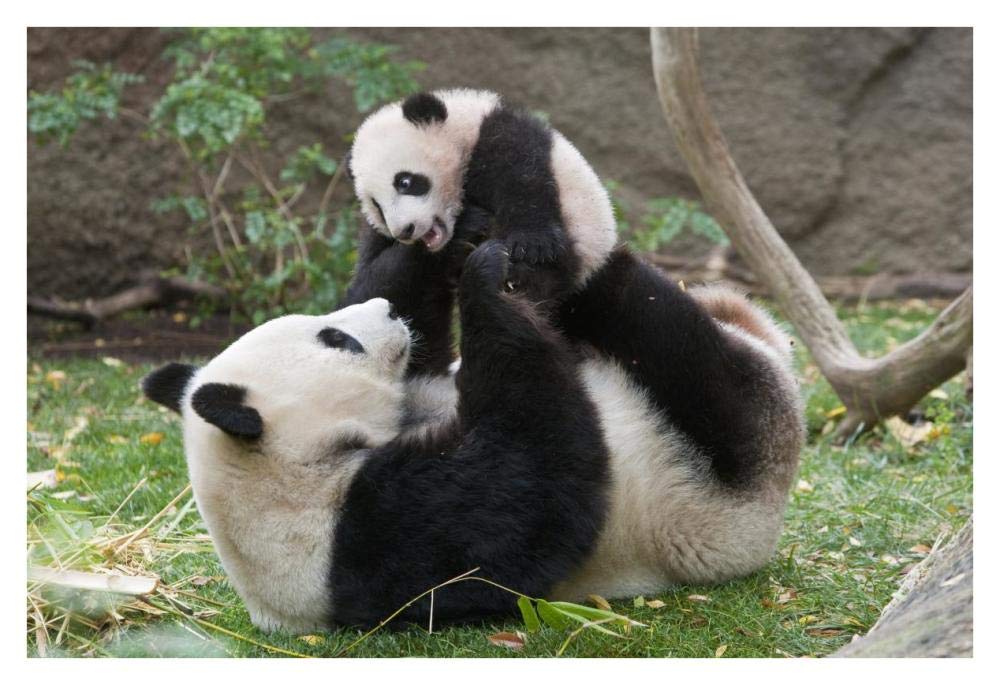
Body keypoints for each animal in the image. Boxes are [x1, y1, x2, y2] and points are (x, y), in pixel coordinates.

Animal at [144, 239, 804, 633]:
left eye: (328, 324)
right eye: (337, 339)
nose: (385, 312)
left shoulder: (421, 391)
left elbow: (432, 351)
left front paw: (416, 252)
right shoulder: (373, 533)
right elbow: (538, 489)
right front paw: (484, 278)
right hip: (724, 475)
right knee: (690, 360)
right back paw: (613, 271)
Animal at [348, 88, 617, 305]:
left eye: (405, 182)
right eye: (377, 206)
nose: (405, 231)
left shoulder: (499, 135)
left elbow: (523, 176)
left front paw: (531, 244)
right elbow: (369, 290)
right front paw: (469, 226)